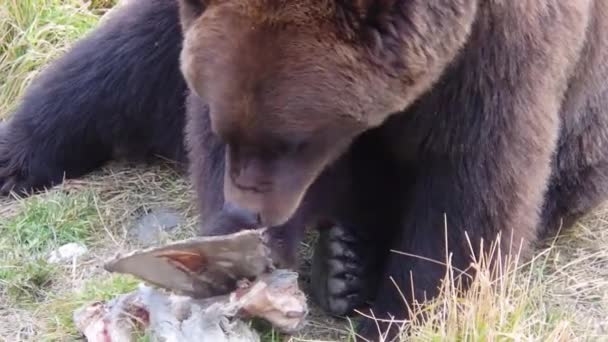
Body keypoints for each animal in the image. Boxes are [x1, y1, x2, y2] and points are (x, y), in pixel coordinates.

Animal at [1, 0, 608, 340]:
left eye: (295, 140)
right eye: (226, 125)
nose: (251, 212)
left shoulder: (497, 54)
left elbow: (473, 188)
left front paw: (400, 318)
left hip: (587, 141)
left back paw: (347, 266)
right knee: (110, 69)